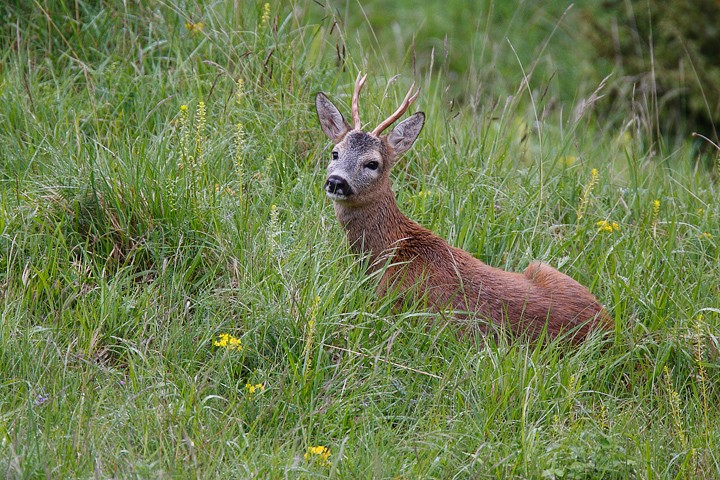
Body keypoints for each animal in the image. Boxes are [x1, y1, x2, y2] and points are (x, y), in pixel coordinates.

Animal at [316, 73, 608, 342]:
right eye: (335, 153)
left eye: (372, 163)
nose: (337, 182)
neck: (392, 250)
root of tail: (609, 329)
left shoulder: (391, 302)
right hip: (543, 268)